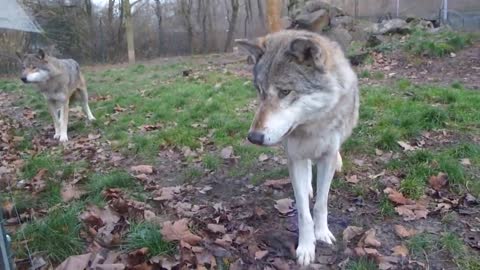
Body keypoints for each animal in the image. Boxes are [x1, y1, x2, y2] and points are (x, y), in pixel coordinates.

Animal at [236, 30, 360, 266]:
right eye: (260, 91)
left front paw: (322, 234)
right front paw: (305, 248)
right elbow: (304, 212)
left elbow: (321, 204)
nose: (254, 137)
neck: (311, 128)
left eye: (285, 91)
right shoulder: (295, 157)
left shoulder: (327, 156)